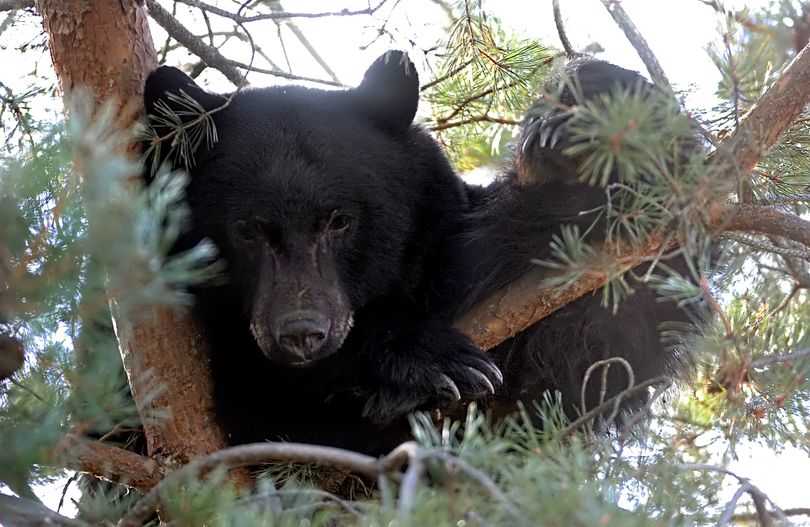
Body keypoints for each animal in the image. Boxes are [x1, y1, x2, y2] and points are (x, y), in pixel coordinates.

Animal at [144, 52, 696, 454]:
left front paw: (595, 116)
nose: (300, 334)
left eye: (340, 220)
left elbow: (597, 345)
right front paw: (426, 360)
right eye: (247, 231)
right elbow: (270, 413)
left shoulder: (458, 250)